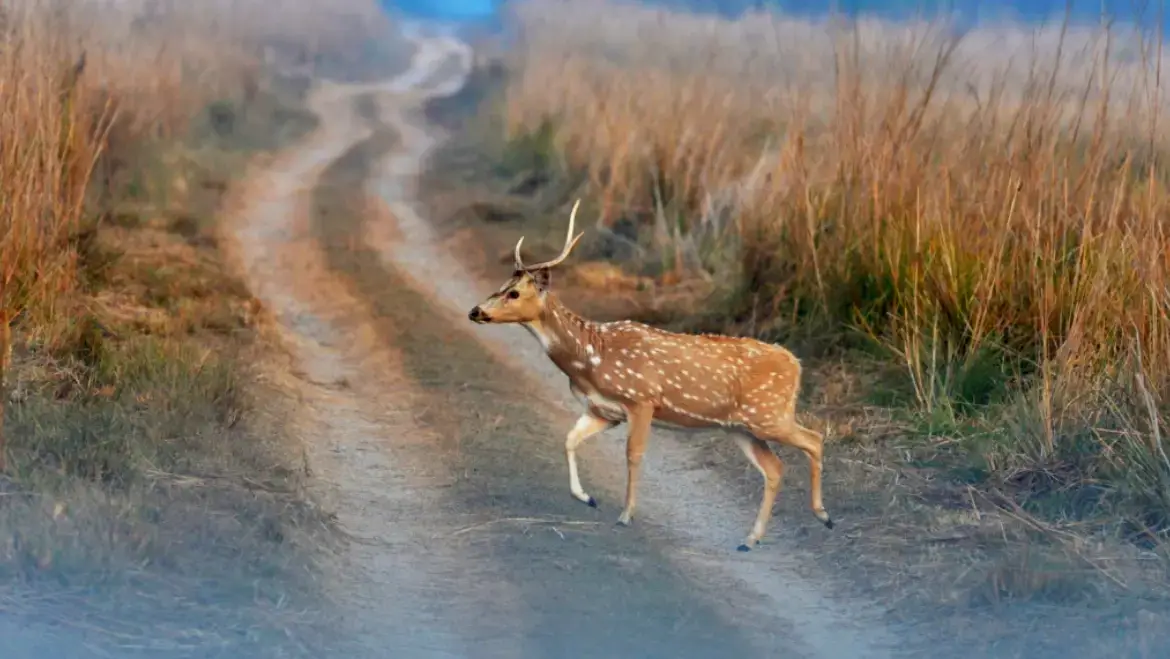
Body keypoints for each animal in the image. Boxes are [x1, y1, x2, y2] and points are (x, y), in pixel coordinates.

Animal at [465, 201, 833, 552]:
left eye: (514, 293)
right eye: (501, 285)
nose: (475, 311)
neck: (590, 356)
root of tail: (796, 364)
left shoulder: (641, 399)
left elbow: (633, 454)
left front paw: (626, 515)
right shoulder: (603, 410)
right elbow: (569, 439)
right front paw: (587, 498)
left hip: (768, 415)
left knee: (814, 439)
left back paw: (823, 516)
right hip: (741, 428)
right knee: (775, 468)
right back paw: (750, 540)